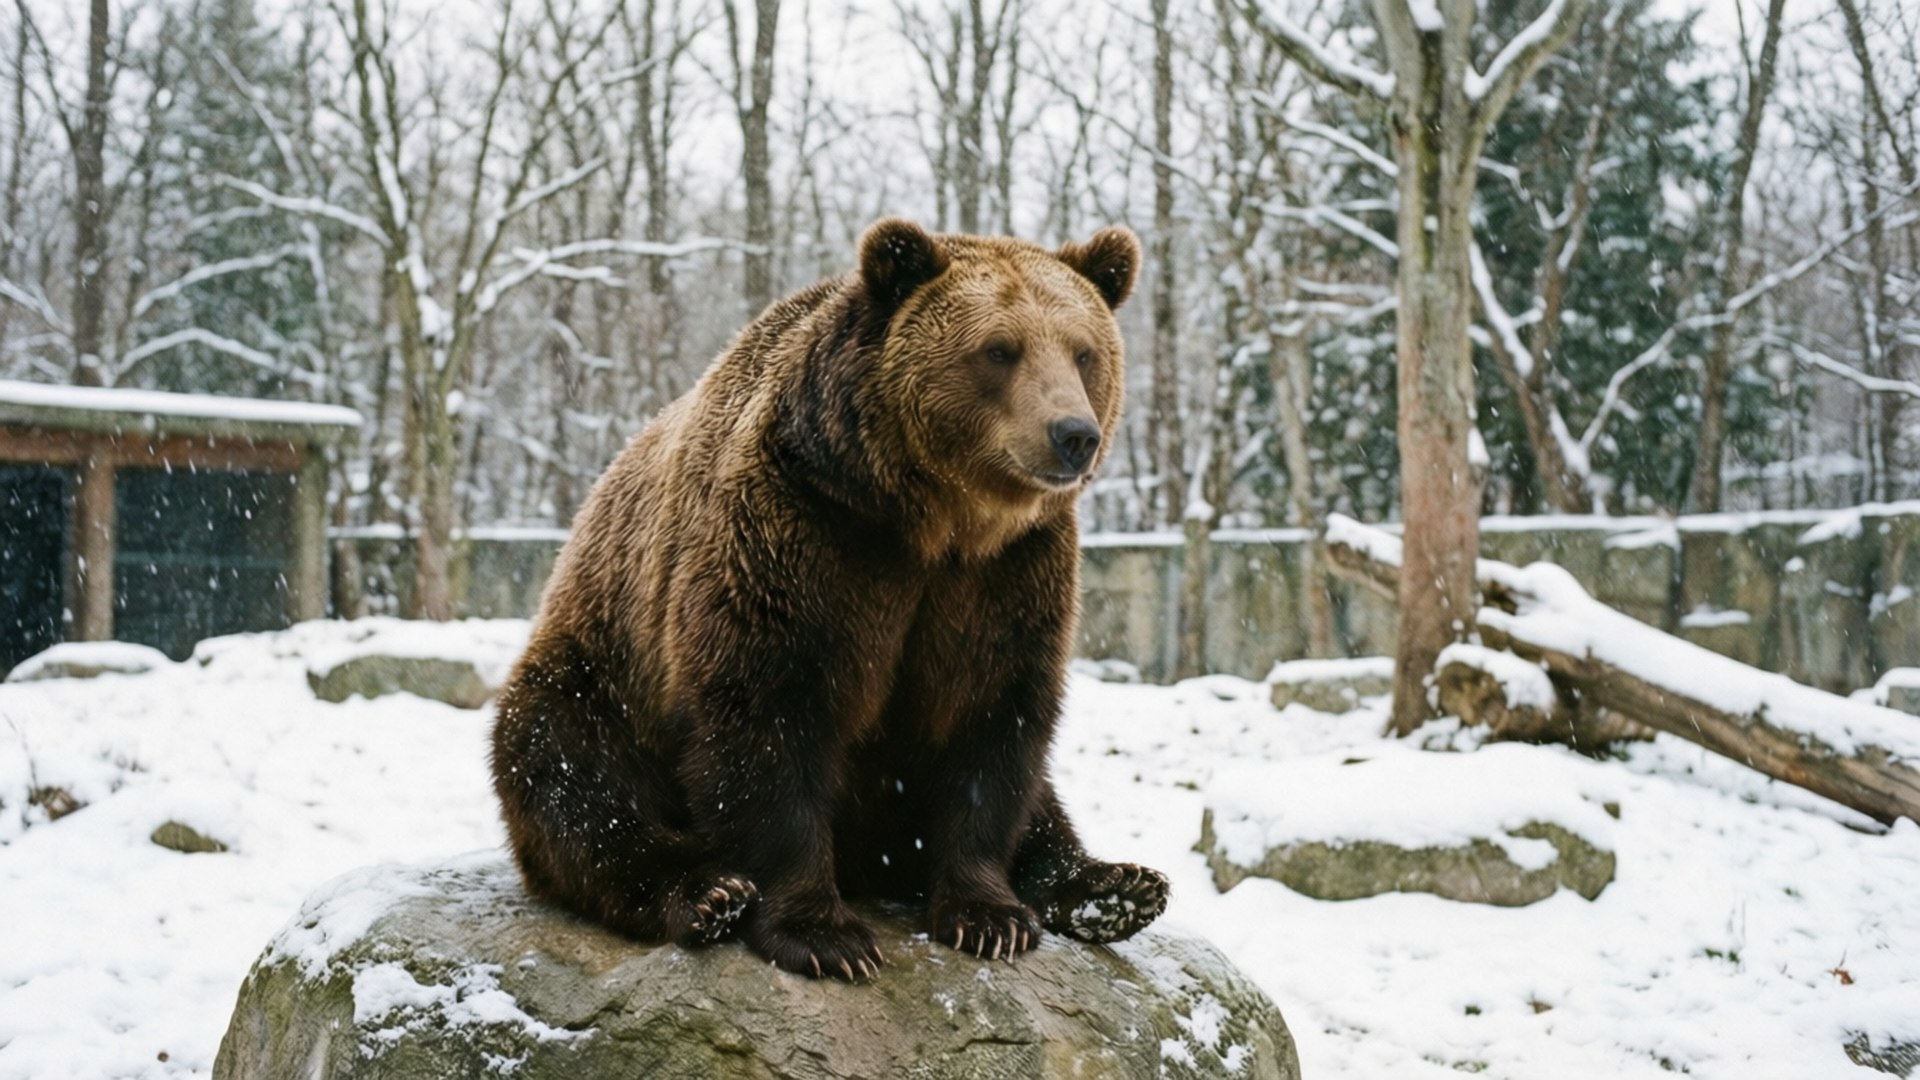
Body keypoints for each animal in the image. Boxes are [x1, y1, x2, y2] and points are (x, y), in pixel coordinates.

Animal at [490, 217, 1169, 982]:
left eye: (1084, 352)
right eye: (999, 350)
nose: (1073, 435)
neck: (935, 521)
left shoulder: (1007, 575)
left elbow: (991, 721)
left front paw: (990, 915)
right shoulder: (802, 531)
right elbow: (767, 714)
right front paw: (823, 933)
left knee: (1045, 801)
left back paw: (1114, 887)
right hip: (600, 667)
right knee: (571, 771)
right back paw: (705, 891)